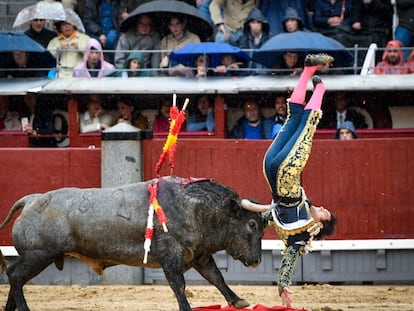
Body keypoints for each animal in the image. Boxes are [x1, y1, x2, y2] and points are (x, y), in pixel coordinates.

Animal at [0, 177, 266, 310]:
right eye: (252, 224)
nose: (256, 261)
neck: (192, 207)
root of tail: (32, 199)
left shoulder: (199, 254)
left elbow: (216, 277)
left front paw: (238, 301)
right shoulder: (171, 256)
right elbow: (178, 285)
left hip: (36, 257)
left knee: (16, 278)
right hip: (38, 255)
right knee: (15, 275)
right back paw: (23, 309)